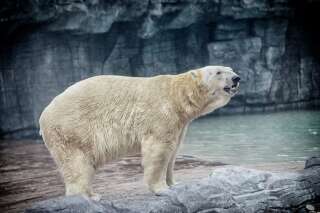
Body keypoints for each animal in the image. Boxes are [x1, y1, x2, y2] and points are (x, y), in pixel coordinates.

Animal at [38, 65, 240, 200]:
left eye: (230, 69)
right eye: (219, 72)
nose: (236, 78)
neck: (177, 96)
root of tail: (43, 116)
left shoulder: (180, 123)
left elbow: (173, 152)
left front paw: (174, 183)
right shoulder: (161, 113)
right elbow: (159, 150)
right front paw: (161, 189)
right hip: (72, 129)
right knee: (76, 164)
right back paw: (87, 196)